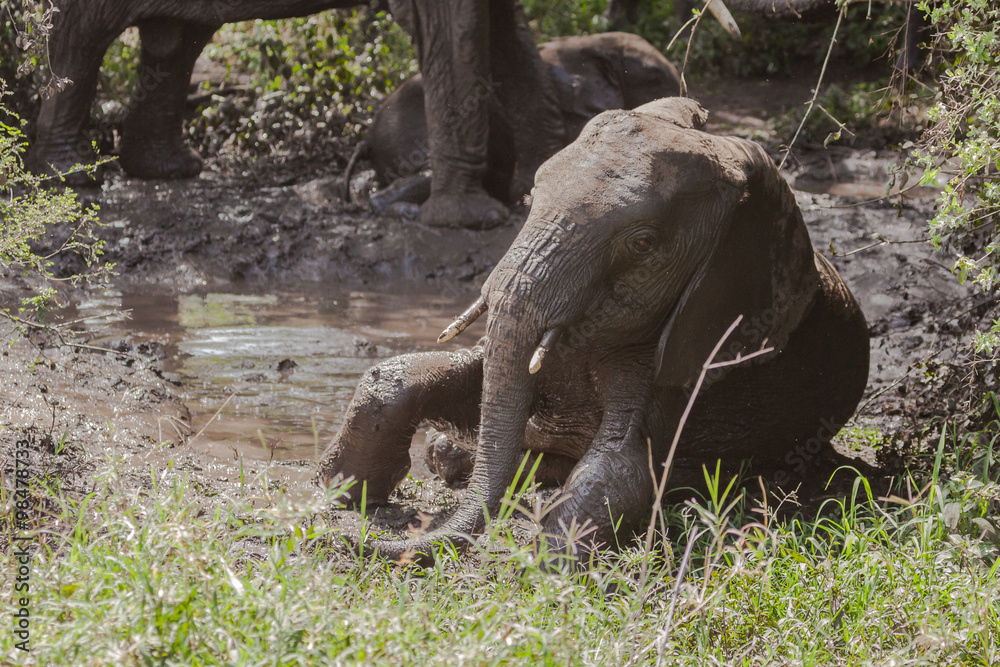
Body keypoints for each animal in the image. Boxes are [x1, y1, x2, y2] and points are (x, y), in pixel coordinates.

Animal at [25, 0, 565, 227]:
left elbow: (505, 32)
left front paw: (539, 189)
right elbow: (463, 26)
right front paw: (473, 221)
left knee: (176, 36)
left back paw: (168, 169)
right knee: (82, 30)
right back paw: (70, 175)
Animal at [318, 97, 870, 565]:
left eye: (643, 244)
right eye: (529, 197)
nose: (350, 540)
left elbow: (621, 466)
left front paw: (538, 565)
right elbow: (422, 378)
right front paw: (338, 493)